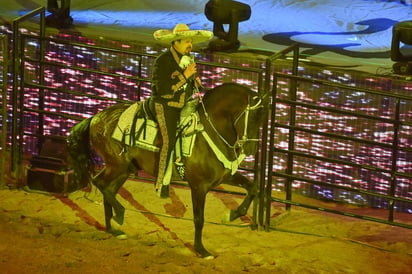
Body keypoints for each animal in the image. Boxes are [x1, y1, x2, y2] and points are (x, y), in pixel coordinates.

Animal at [67, 82, 268, 258]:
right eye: (252, 117)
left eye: (262, 120)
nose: (250, 150)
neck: (208, 133)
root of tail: (96, 118)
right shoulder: (199, 186)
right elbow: (199, 219)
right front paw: (202, 251)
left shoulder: (224, 177)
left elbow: (253, 188)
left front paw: (231, 215)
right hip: (117, 165)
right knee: (100, 183)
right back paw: (119, 215)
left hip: (123, 169)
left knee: (108, 189)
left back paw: (113, 229)